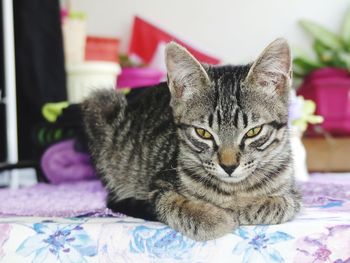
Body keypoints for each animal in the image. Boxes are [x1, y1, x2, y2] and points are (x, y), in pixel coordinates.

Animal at [82, 38, 300, 242]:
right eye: (203, 133)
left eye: (254, 131)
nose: (229, 166)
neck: (233, 188)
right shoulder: (158, 185)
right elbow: (173, 203)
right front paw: (213, 217)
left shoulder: (293, 194)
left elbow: (283, 204)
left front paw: (243, 206)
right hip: (100, 104)